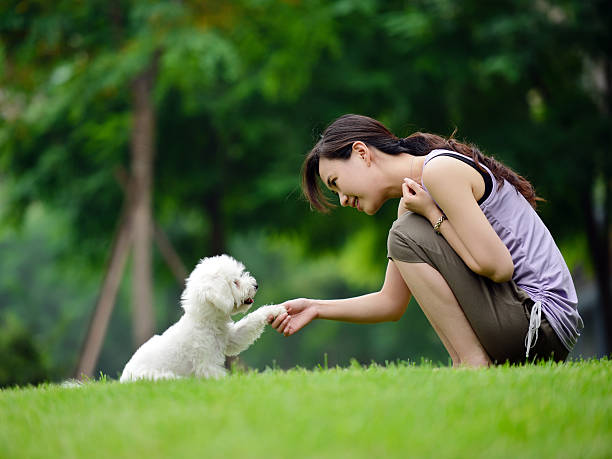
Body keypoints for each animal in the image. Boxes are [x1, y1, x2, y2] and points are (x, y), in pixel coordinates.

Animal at [120, 255, 286, 380]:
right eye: (235, 282)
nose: (256, 285)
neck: (207, 322)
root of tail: (123, 380)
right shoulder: (207, 364)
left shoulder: (231, 339)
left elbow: (250, 322)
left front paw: (276, 310)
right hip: (157, 376)